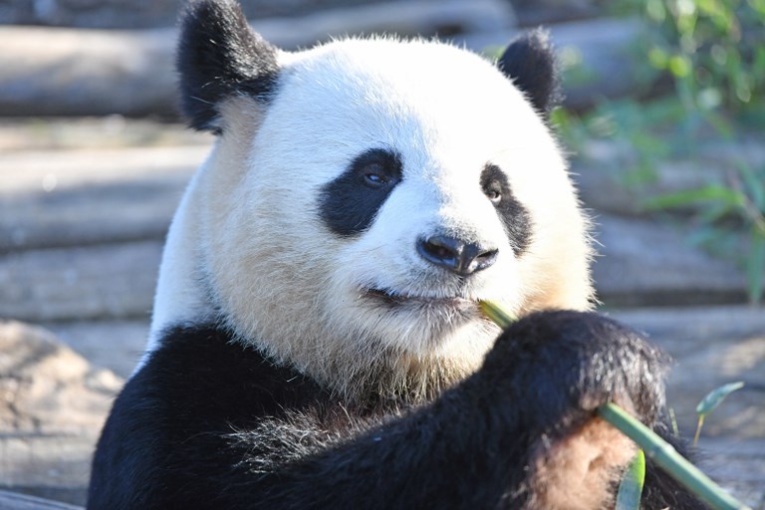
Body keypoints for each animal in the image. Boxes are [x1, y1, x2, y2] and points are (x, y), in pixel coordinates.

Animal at [88, 1, 703, 508]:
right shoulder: (192, 395)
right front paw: (574, 360)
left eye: (496, 190)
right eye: (374, 174)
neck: (406, 377)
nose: (460, 251)